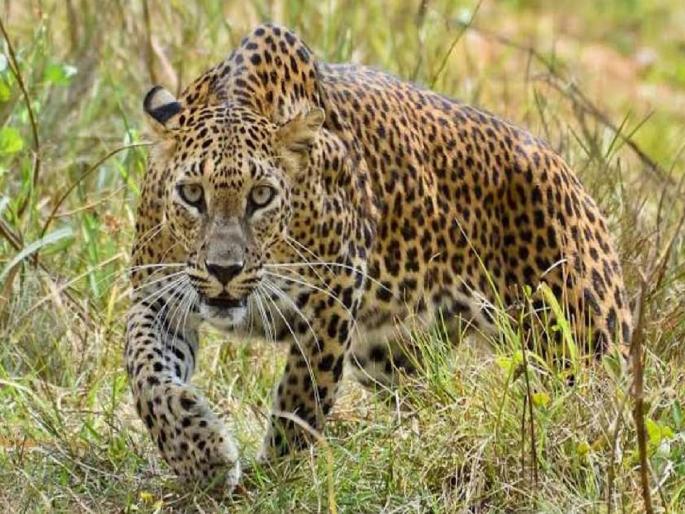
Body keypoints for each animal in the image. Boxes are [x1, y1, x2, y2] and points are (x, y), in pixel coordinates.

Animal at [125, 23, 632, 487]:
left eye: (262, 196)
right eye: (192, 194)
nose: (224, 270)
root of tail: (568, 172)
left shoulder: (331, 300)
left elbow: (301, 399)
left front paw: (272, 478)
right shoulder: (158, 297)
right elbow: (146, 372)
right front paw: (201, 455)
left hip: (580, 341)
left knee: (607, 408)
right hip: (393, 353)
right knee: (434, 395)